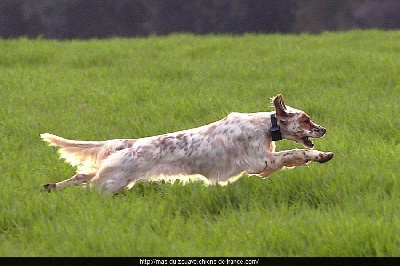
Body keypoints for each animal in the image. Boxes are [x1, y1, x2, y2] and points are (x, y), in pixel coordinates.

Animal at [41, 94, 334, 193]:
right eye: (306, 119)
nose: (323, 129)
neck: (264, 127)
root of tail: (131, 143)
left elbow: (295, 155)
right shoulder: (260, 162)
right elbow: (295, 153)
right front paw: (322, 155)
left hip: (110, 174)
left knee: (82, 175)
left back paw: (52, 186)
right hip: (113, 180)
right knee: (88, 183)